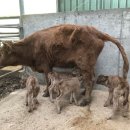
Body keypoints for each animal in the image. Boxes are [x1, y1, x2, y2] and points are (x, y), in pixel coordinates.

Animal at [0, 24, 128, 105]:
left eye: (2, 52)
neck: (32, 46)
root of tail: (96, 31)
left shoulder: (46, 66)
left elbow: (47, 81)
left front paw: (46, 93)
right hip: (88, 65)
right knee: (92, 77)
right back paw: (84, 93)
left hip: (85, 64)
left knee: (89, 80)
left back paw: (85, 100)